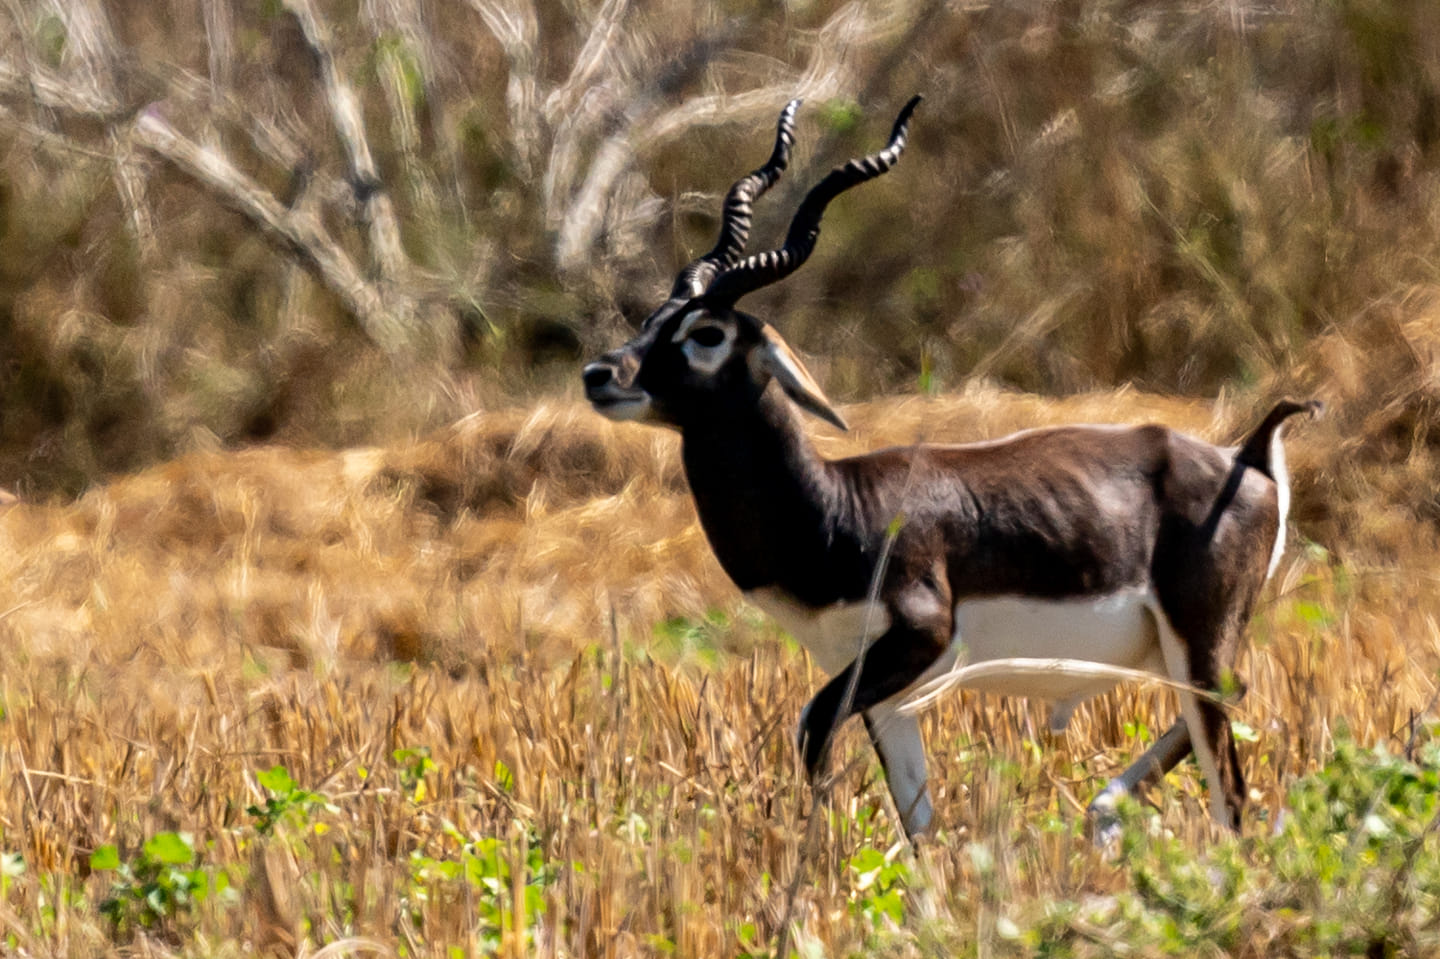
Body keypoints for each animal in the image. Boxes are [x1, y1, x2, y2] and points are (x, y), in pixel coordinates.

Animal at [581, 97, 1319, 835]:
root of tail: (1247, 457)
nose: (599, 374)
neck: (838, 506)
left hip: (1200, 643)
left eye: (706, 333)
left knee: (1232, 786)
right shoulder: (882, 692)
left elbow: (811, 729)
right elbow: (918, 824)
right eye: (652, 319)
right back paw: (1103, 809)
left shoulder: (917, 638)